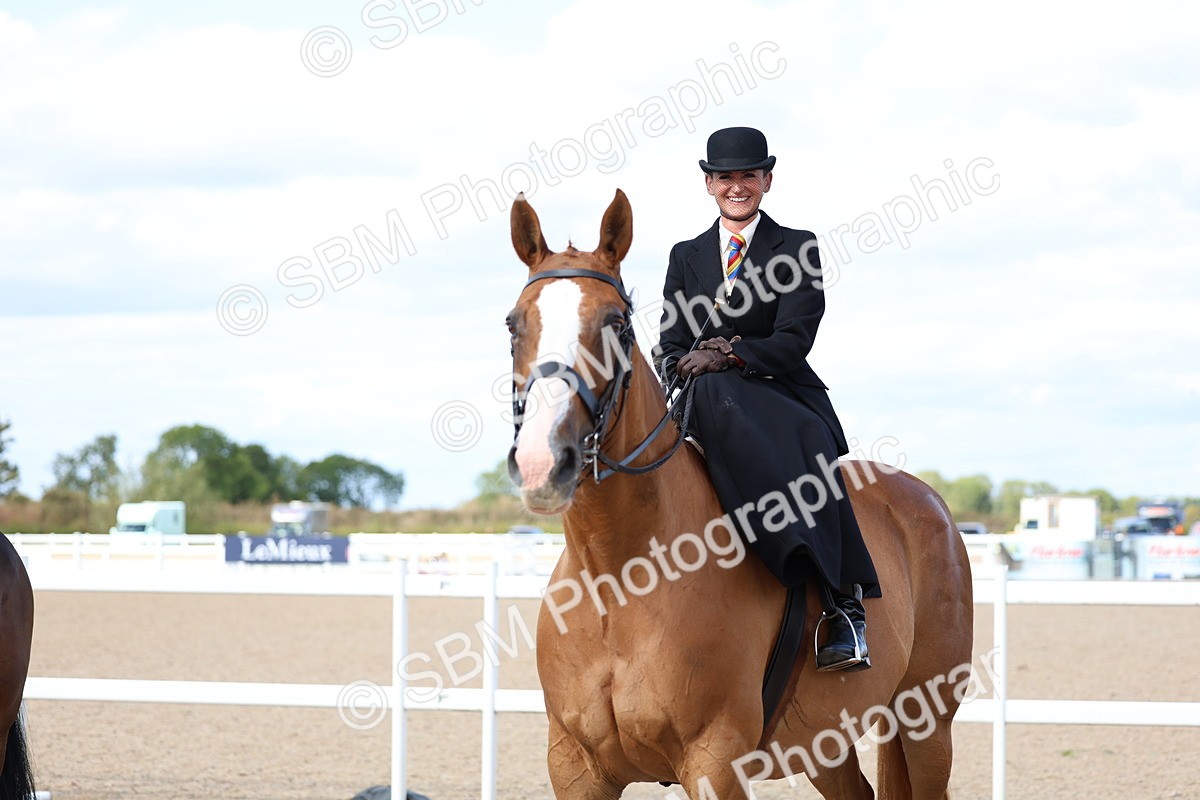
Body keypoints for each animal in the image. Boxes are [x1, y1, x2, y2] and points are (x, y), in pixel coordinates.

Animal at [505, 189, 974, 799]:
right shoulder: (574, 766)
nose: (544, 461)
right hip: (823, 741)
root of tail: (927, 501)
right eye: (513, 325)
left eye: (618, 325)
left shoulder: (715, 760)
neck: (620, 577)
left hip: (926, 722)